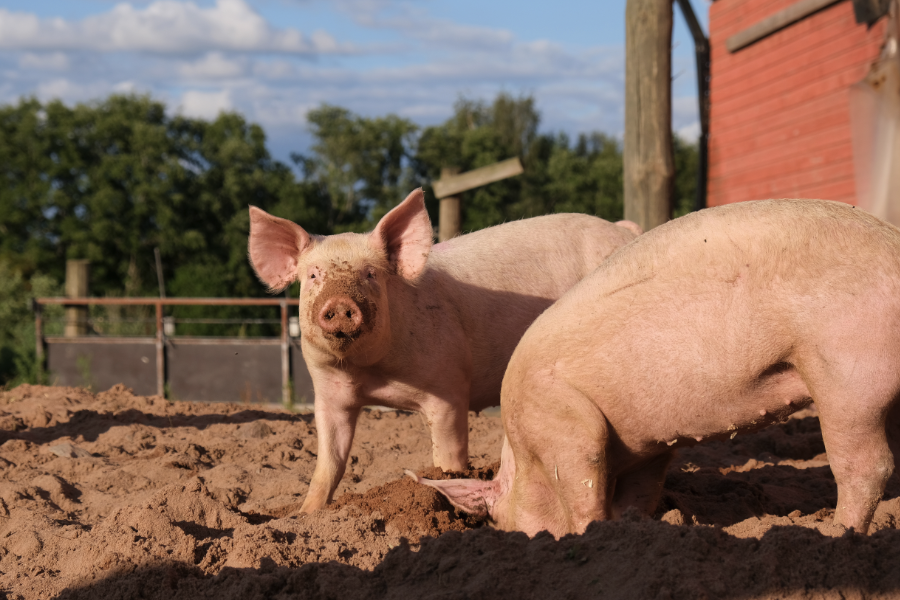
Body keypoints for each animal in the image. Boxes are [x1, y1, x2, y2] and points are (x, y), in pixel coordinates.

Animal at [246, 188, 640, 510]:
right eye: (314, 275)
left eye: (371, 274)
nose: (342, 304)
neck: (370, 373)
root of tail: (624, 230)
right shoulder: (329, 393)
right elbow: (330, 462)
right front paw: (304, 516)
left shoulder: (448, 389)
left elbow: (448, 457)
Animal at [414, 199, 900, 536]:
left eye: (501, 521)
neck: (523, 453)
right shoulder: (645, 447)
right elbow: (638, 495)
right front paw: (636, 529)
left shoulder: (566, 424)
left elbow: (584, 488)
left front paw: (591, 536)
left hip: (846, 373)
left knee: (866, 467)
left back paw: (837, 533)